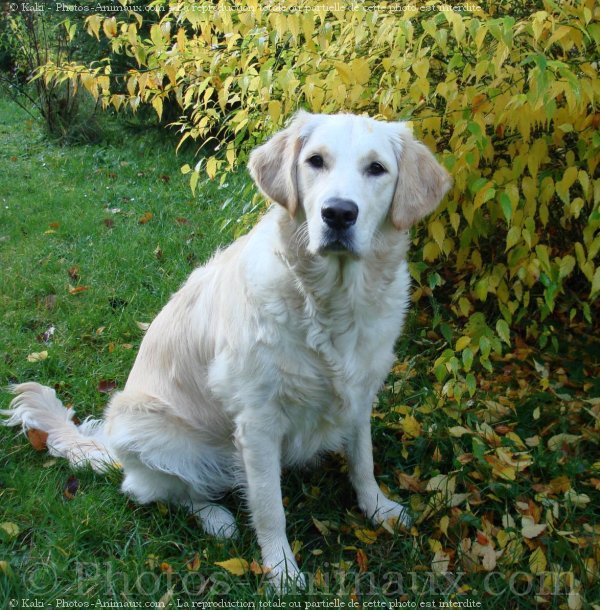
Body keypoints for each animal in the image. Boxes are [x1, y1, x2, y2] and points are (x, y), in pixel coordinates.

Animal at [1, 110, 450, 588]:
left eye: (377, 168)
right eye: (315, 161)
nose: (339, 213)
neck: (330, 303)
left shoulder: (360, 393)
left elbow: (363, 460)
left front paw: (379, 508)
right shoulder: (257, 423)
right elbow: (270, 508)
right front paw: (282, 571)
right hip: (155, 435)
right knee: (162, 490)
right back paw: (216, 518)